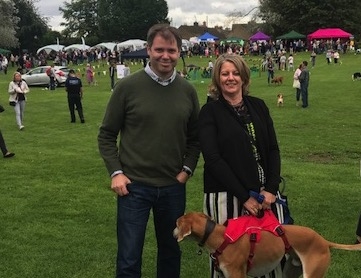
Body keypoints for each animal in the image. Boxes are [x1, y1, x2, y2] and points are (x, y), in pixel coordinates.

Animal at [172, 212, 360, 276]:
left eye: (177, 223)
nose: (172, 233)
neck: (220, 236)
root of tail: (323, 241)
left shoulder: (236, 275)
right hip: (292, 270)